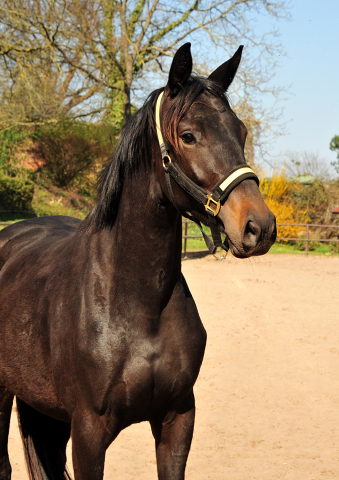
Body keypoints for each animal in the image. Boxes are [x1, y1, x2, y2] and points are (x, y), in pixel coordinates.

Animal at [0, 43, 276, 478]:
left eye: (242, 132)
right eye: (188, 135)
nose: (258, 227)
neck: (137, 303)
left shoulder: (178, 417)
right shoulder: (89, 432)